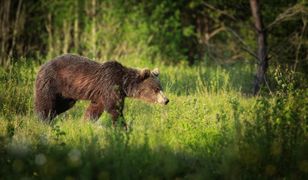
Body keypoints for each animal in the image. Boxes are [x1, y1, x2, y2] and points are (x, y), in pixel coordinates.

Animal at [35, 54, 170, 127]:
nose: (166, 100)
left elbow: (95, 109)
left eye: (161, 88)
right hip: (51, 82)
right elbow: (114, 108)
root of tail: (42, 65)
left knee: (61, 105)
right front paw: (124, 128)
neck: (124, 84)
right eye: (156, 89)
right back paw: (44, 120)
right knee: (45, 104)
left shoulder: (101, 94)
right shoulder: (110, 86)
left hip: (66, 95)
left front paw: (85, 123)